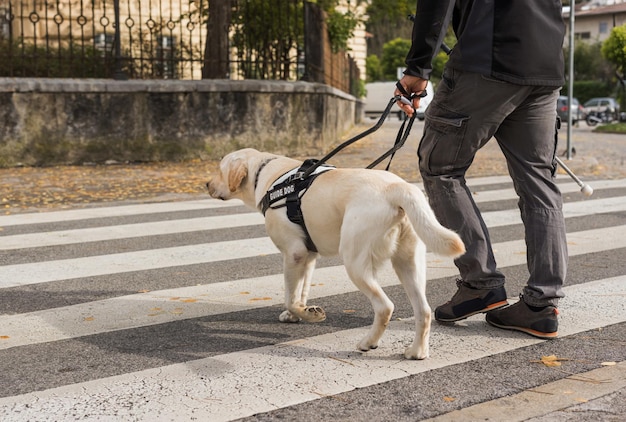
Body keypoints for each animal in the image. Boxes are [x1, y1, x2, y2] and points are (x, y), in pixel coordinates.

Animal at [206, 148, 464, 360]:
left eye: (219, 169)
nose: (207, 184)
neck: (266, 174)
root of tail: (397, 188)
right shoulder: (308, 256)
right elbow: (300, 291)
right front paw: (299, 313)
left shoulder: (294, 253)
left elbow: (290, 296)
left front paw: (306, 314)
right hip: (409, 262)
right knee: (424, 310)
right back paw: (417, 352)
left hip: (355, 261)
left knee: (385, 307)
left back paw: (368, 343)